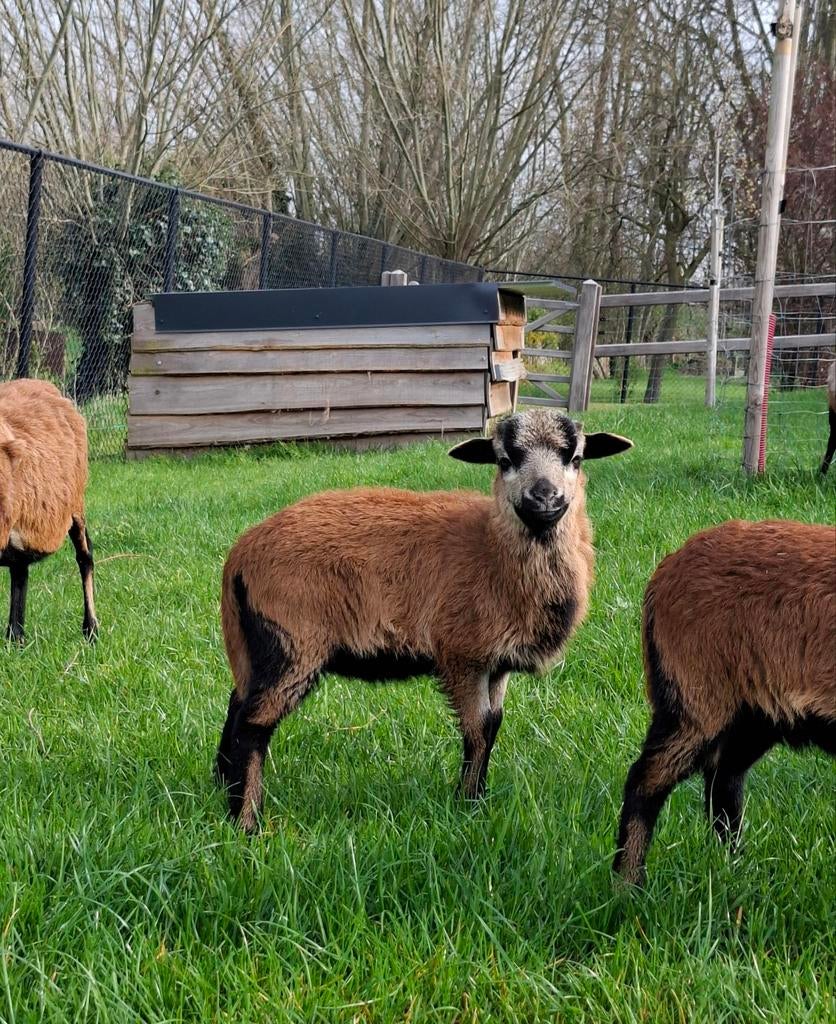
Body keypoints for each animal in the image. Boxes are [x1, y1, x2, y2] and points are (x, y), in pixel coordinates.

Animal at [216, 409, 633, 831]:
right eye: (504, 460)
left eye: (576, 458)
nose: (544, 497)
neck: (493, 552)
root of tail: (241, 553)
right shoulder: (462, 657)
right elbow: (478, 729)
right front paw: (468, 804)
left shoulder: (497, 664)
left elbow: (495, 724)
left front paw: (479, 798)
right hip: (294, 641)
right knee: (252, 724)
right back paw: (246, 822)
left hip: (256, 646)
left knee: (236, 706)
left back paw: (222, 789)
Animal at [613, 518, 835, 886]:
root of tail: (665, 569)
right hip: (697, 700)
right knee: (645, 781)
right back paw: (627, 885)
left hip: (754, 713)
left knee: (724, 778)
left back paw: (737, 870)